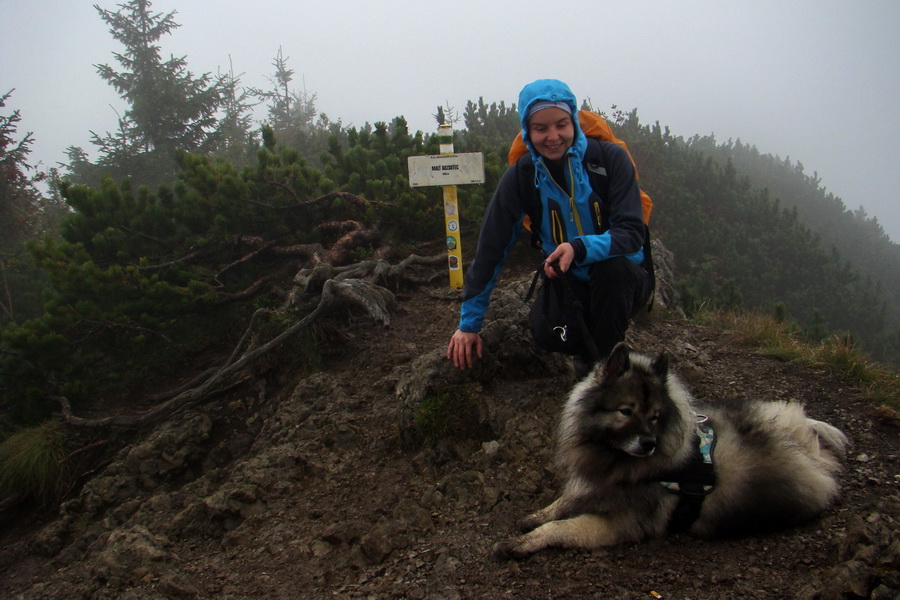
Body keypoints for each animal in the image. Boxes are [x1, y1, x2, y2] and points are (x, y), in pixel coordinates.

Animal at [496, 344, 848, 560]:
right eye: (626, 411)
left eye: (655, 416)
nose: (648, 444)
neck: (614, 457)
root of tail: (803, 447)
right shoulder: (592, 482)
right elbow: (562, 502)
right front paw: (536, 515)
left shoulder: (620, 522)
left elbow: (562, 527)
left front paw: (523, 542)